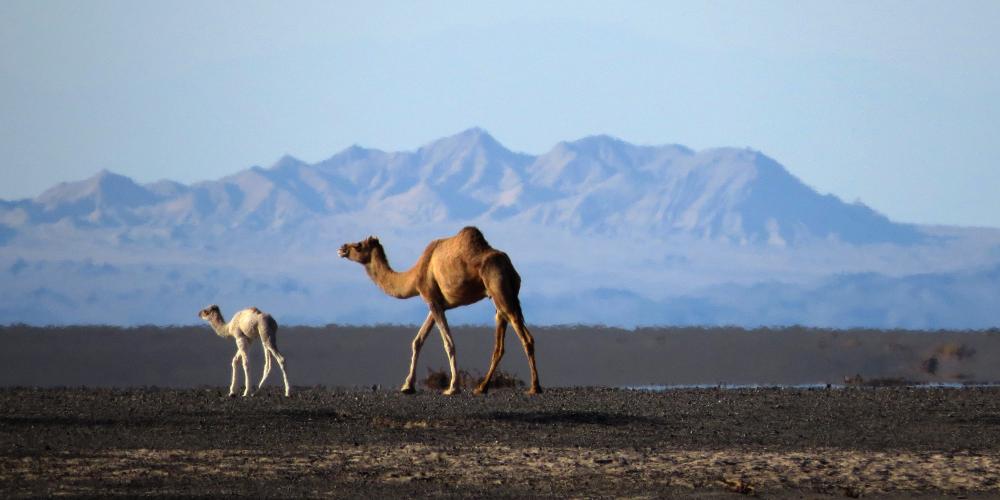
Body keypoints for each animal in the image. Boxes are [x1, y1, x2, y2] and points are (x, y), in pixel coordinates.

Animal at [338, 226, 541, 395]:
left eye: (358, 245)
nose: (341, 248)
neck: (415, 276)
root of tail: (511, 269)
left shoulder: (431, 299)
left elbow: (448, 343)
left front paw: (452, 388)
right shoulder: (437, 303)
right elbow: (417, 341)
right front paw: (407, 386)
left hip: (500, 291)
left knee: (526, 338)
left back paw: (534, 388)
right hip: (501, 300)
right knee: (500, 345)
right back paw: (482, 387)